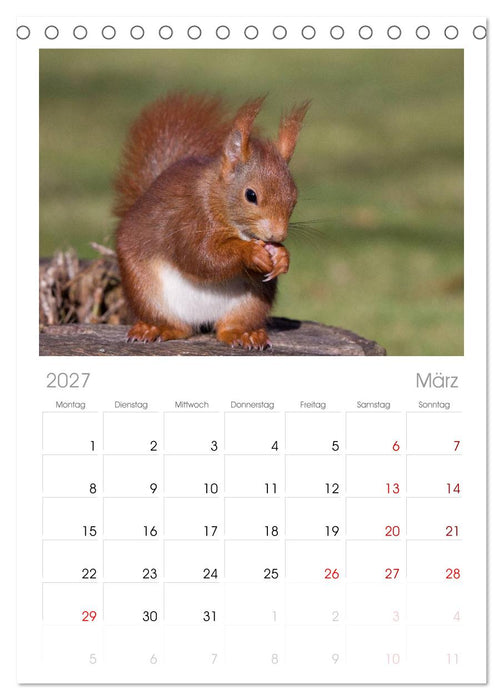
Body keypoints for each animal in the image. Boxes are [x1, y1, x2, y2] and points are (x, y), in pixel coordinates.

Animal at [114, 93, 309, 349]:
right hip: (143, 288)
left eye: (294, 198)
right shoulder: (188, 218)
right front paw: (250, 253)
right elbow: (200, 256)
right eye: (251, 195)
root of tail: (201, 318)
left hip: (253, 301)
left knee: (229, 327)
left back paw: (244, 334)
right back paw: (157, 328)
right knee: (175, 325)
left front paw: (282, 257)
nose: (277, 235)